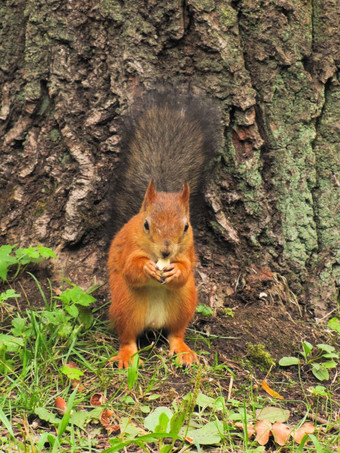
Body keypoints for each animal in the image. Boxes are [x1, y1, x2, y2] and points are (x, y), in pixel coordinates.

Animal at [107, 89, 220, 368]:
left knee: (175, 332)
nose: (166, 252)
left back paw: (183, 350)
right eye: (146, 224)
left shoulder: (189, 250)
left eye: (186, 226)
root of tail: (153, 324)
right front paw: (146, 268)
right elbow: (130, 269)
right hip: (125, 305)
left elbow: (187, 269)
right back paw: (126, 355)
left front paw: (175, 270)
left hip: (185, 302)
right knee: (127, 337)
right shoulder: (127, 246)